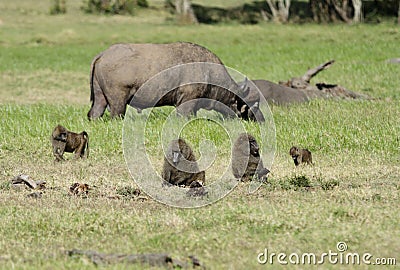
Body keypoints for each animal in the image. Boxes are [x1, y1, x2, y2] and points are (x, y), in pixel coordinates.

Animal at [87, 41, 262, 121]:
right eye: (252, 105)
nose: (261, 120)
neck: (209, 72)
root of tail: (103, 54)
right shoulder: (186, 102)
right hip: (118, 100)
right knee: (116, 114)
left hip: (100, 97)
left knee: (94, 113)